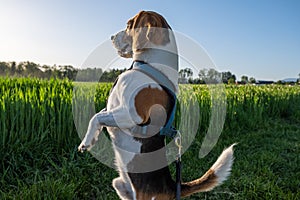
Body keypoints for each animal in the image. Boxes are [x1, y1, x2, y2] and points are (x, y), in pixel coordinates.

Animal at [78, 10, 237, 198]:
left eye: (129, 24)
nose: (111, 37)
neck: (148, 65)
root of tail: (172, 186)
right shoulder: (113, 108)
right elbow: (100, 115)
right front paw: (93, 137)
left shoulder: (133, 114)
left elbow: (96, 117)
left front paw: (86, 142)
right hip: (119, 184)